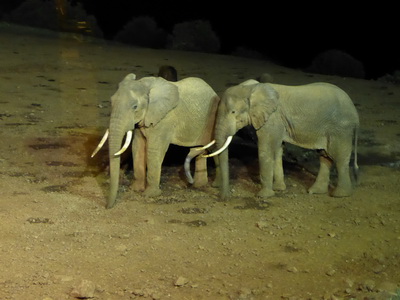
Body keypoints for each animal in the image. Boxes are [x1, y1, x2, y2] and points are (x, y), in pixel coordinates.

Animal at [91, 74, 219, 207]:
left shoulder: (164, 120)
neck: (145, 85)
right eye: (111, 102)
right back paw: (198, 185)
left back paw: (215, 185)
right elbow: (137, 147)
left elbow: (153, 150)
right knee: (199, 149)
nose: (107, 207)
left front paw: (149, 195)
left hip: (212, 118)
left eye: (135, 107)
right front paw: (136, 189)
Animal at [188, 80, 360, 199]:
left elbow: (265, 148)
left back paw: (340, 195)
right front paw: (278, 189)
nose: (226, 197)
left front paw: (263, 195)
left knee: (339, 158)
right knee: (324, 157)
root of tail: (355, 113)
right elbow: (277, 149)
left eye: (233, 112)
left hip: (341, 129)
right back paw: (315, 191)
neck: (251, 88)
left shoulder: (273, 119)